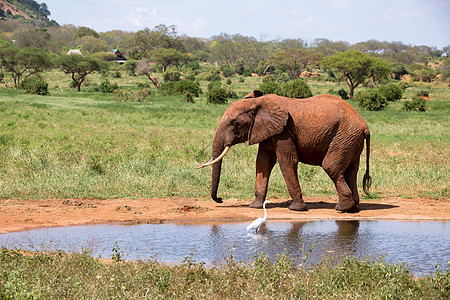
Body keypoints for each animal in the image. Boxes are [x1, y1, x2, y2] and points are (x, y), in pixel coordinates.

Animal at [199, 90, 370, 212]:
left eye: (234, 123)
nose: (220, 199)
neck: (258, 103)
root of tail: (365, 126)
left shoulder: (285, 130)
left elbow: (286, 160)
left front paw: (297, 209)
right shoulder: (266, 131)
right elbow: (263, 162)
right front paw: (255, 206)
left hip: (344, 136)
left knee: (331, 166)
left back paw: (342, 208)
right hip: (351, 140)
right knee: (350, 171)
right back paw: (353, 209)